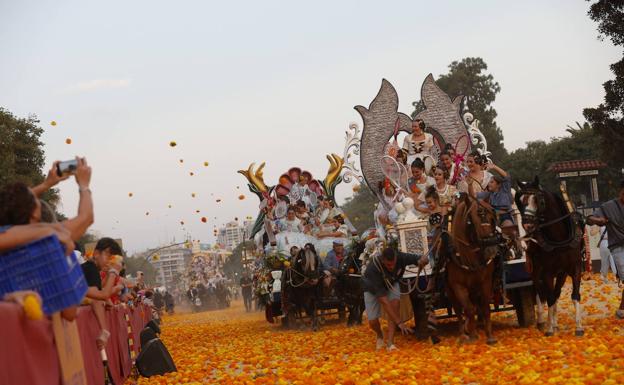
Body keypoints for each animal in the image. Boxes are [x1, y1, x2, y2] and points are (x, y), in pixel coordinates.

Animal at [444, 190, 502, 344]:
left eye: (492, 218)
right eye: (473, 221)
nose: (492, 250)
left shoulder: (485, 282)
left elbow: (485, 307)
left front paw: (489, 335)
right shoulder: (457, 286)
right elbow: (468, 309)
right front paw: (472, 334)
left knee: (476, 306)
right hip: (451, 291)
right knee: (459, 309)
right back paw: (463, 332)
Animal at [512, 176, 584, 334]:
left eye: (539, 200)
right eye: (520, 201)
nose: (527, 225)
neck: (559, 239)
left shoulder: (574, 267)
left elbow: (574, 295)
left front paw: (579, 327)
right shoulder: (547, 272)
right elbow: (549, 297)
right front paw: (550, 328)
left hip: (561, 273)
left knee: (556, 292)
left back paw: (555, 322)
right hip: (535, 269)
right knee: (540, 292)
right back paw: (542, 321)